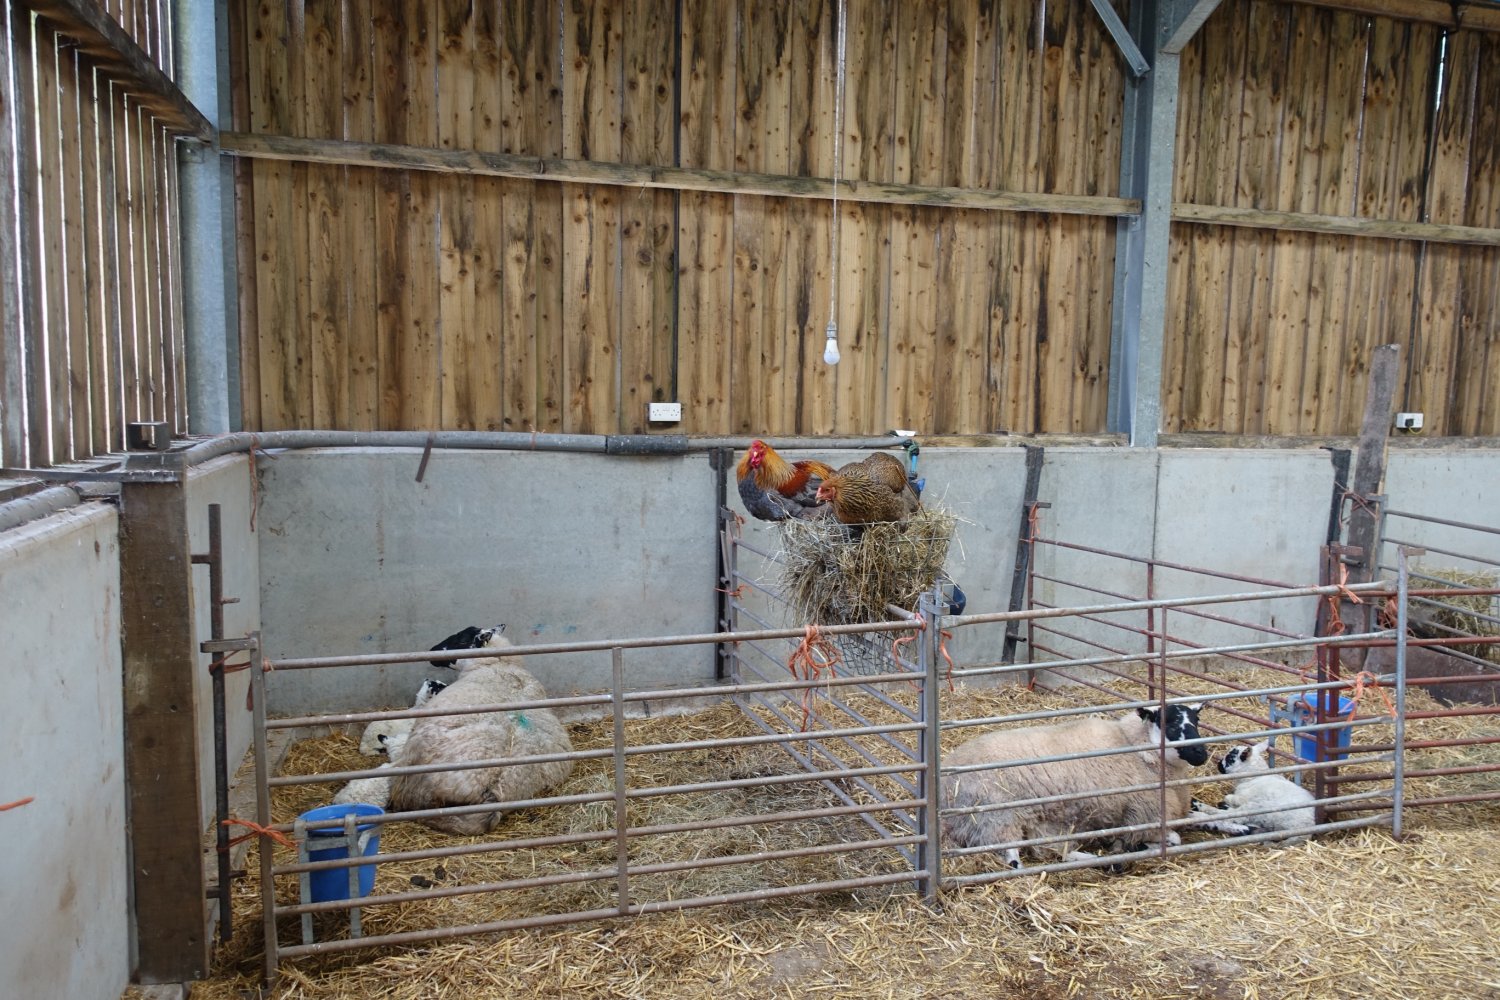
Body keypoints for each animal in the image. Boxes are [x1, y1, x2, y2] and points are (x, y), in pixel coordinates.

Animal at [936, 704, 1242, 869]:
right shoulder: (1144, 815)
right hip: (996, 820)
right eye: (1169, 722)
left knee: (1052, 850)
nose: (1200, 754)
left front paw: (1237, 827)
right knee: (1015, 862)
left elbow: (1201, 817)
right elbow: (1174, 838)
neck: (1134, 747)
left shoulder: (1169, 810)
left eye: (1197, 721)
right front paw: (1135, 846)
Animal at [1182, 740, 1314, 839]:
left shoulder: (1244, 798)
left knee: (1233, 817)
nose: (1218, 764)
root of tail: (1306, 827)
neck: (1253, 776)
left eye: (1230, 758)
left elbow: (1229, 798)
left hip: (1259, 808)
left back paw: (1200, 806)